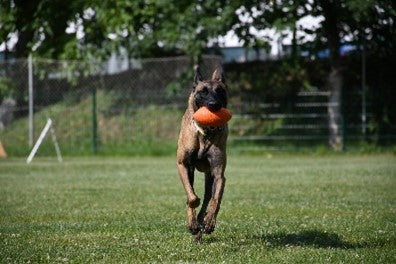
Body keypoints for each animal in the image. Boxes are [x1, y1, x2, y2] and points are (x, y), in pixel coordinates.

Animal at [177, 65, 229, 241]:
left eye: (220, 91)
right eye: (203, 91)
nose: (214, 105)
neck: (204, 133)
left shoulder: (219, 174)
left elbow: (216, 199)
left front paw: (209, 222)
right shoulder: (183, 165)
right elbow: (191, 197)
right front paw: (193, 217)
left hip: (209, 177)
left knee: (208, 197)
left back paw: (202, 222)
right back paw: (195, 225)